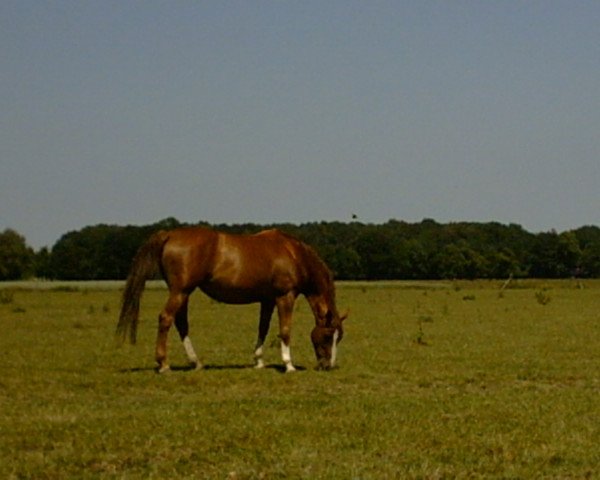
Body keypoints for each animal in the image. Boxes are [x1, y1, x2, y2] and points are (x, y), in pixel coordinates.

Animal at [115, 227, 346, 374]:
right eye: (328, 336)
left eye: (339, 338)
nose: (328, 366)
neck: (294, 254)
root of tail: (169, 234)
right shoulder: (285, 297)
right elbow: (285, 331)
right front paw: (288, 365)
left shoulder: (267, 300)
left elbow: (263, 329)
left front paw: (258, 361)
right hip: (180, 291)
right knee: (166, 319)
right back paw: (163, 364)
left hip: (183, 293)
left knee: (181, 323)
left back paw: (195, 362)